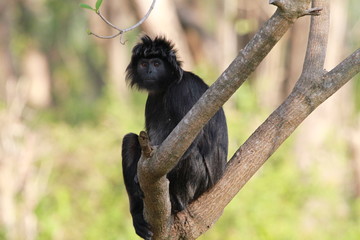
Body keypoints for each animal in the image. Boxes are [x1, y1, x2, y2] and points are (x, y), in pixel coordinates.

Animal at [121, 34, 228, 239]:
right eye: (144, 64)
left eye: (156, 63)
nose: (150, 70)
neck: (167, 86)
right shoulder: (151, 99)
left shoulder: (183, 89)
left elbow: (192, 138)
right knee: (129, 139)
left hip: (200, 186)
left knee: (190, 155)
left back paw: (176, 202)